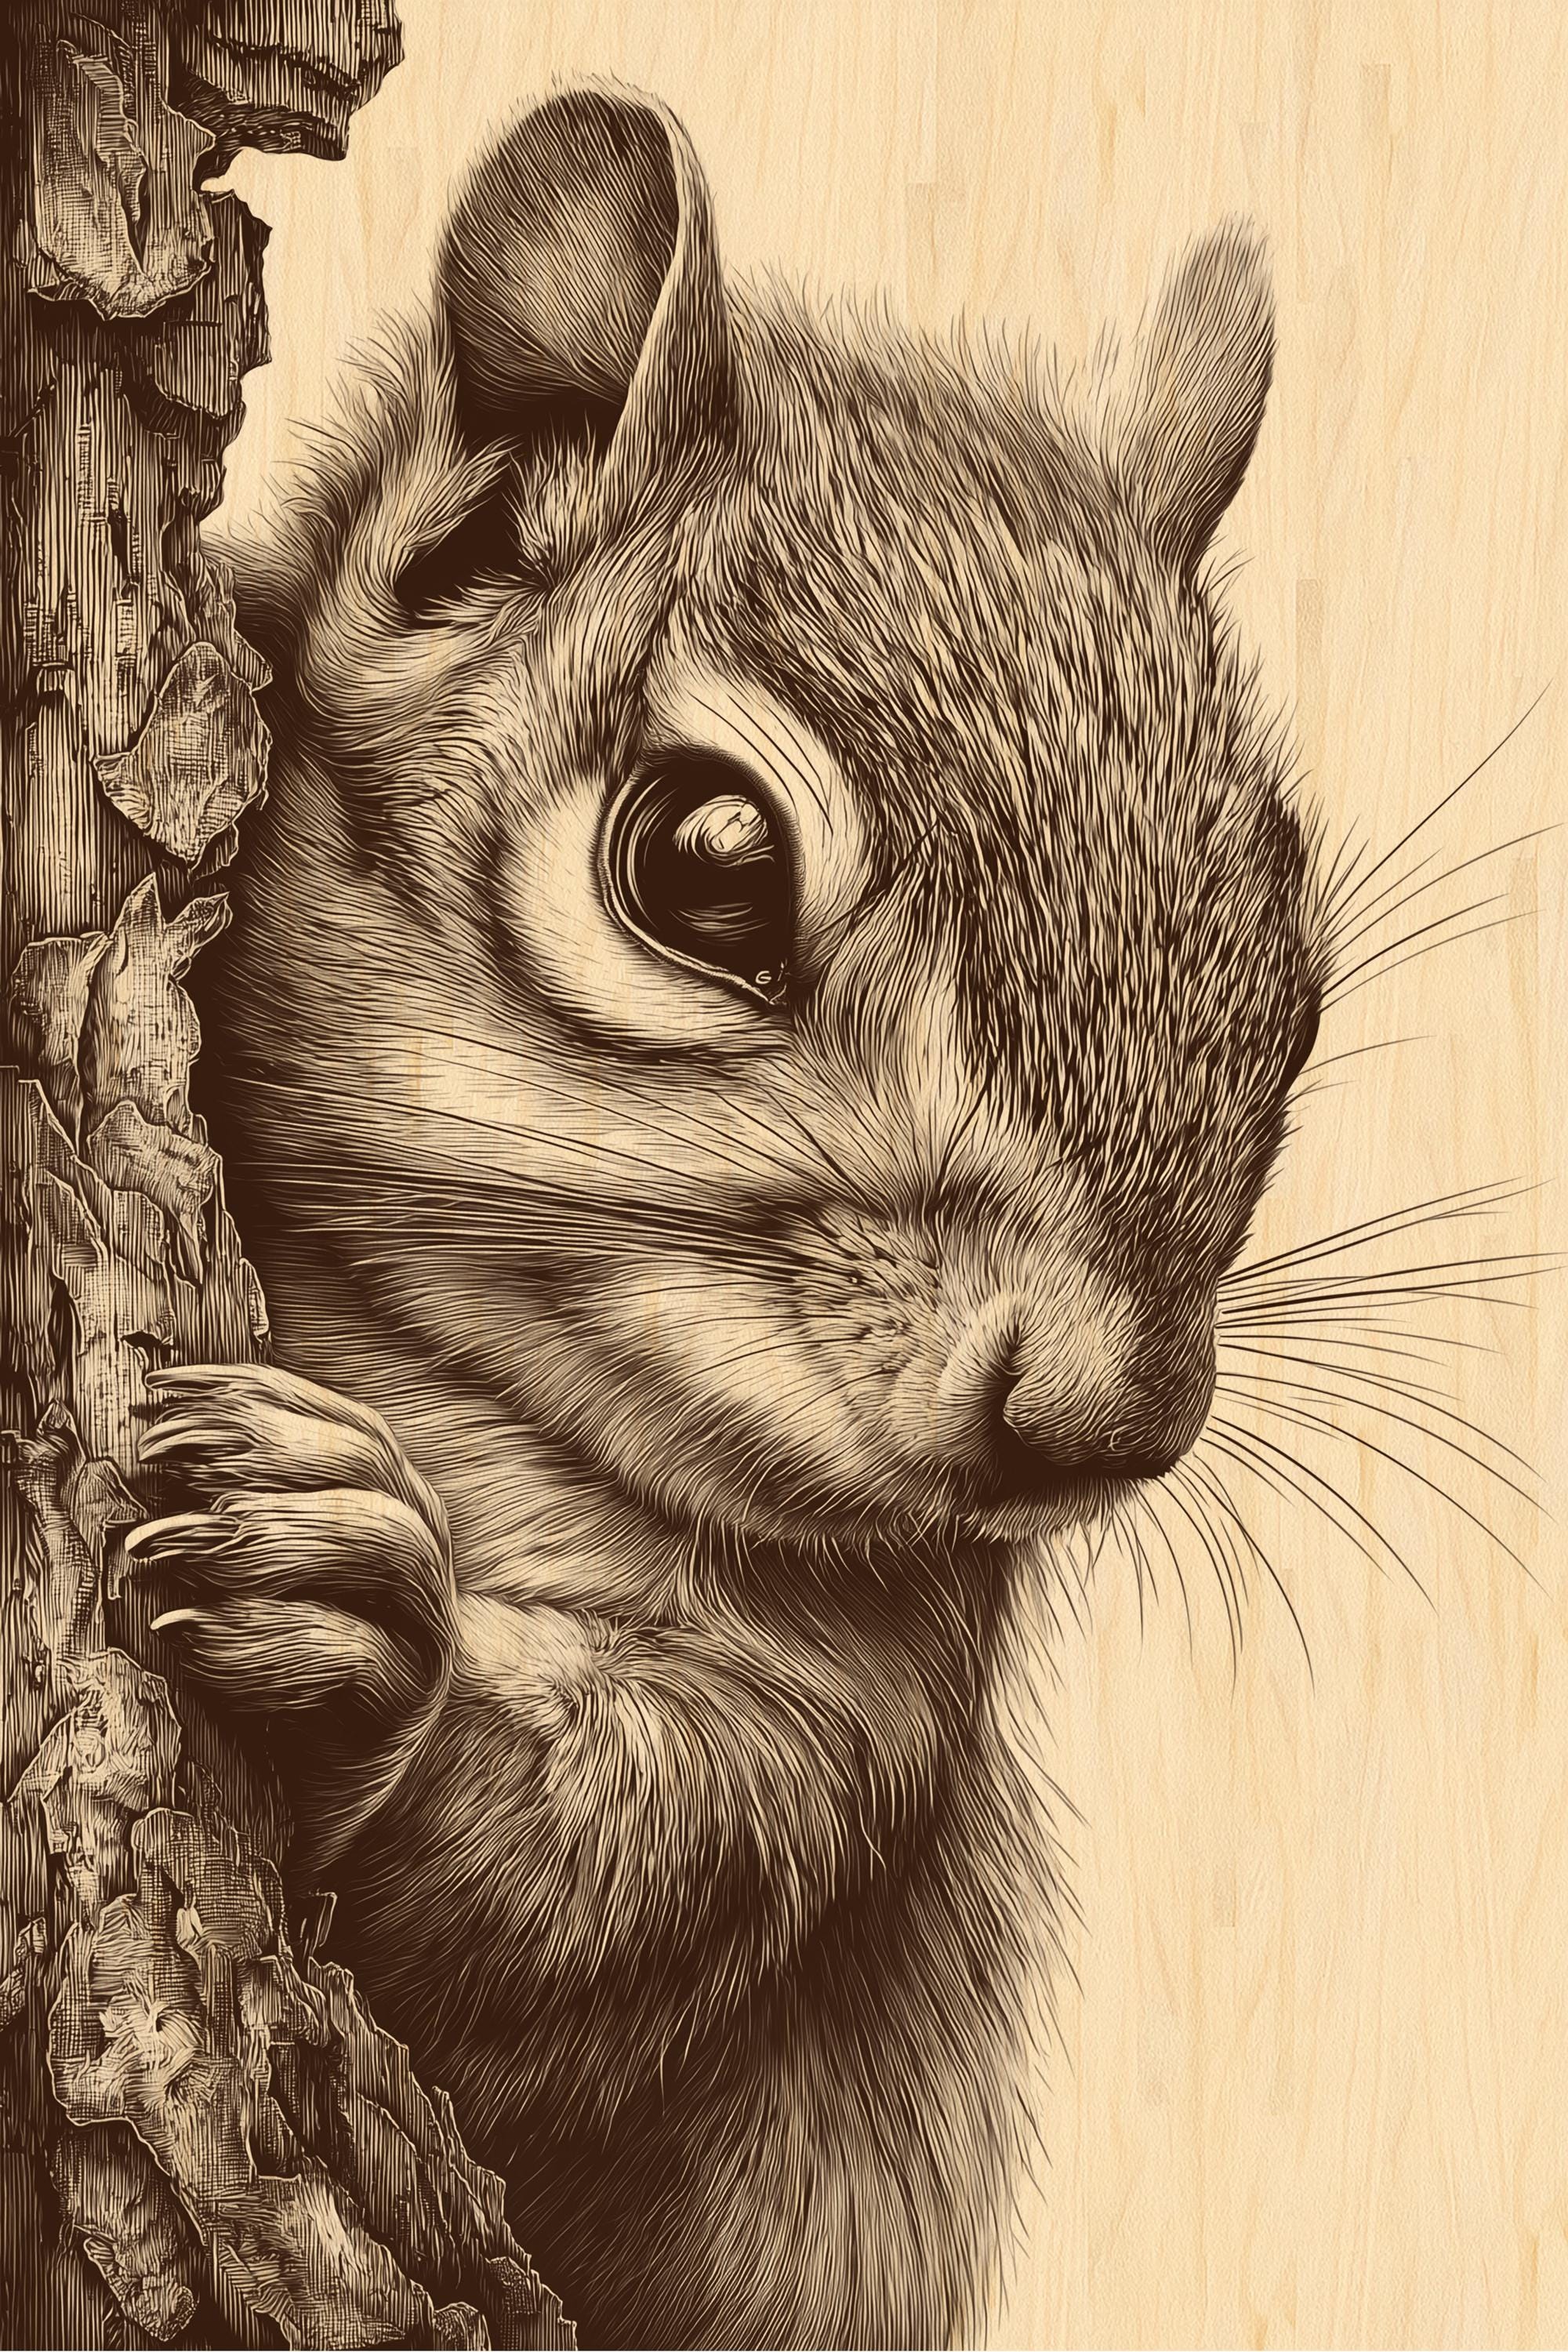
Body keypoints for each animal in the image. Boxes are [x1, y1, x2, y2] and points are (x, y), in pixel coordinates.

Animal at [134, 85, 1327, 2351]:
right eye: (705, 866)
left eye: (1294, 984)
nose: (1105, 1425)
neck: (483, 1390)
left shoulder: (856, 1703)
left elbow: (601, 1906)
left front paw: (356, 1651)